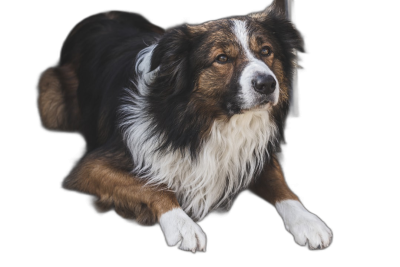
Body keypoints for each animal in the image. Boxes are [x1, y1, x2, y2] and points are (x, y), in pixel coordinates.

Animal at [36, 1, 332, 253]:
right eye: (222, 58)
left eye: (266, 51)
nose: (267, 84)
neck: (210, 121)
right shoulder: (89, 168)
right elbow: (153, 185)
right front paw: (182, 225)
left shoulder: (252, 154)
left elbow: (281, 185)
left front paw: (308, 222)